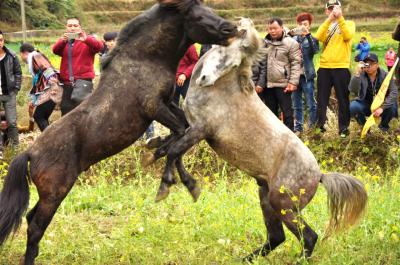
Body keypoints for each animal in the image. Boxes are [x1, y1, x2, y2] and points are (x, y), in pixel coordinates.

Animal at [0, 1, 238, 262]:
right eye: (197, 16)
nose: (231, 28)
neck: (145, 61)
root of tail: (30, 152)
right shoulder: (154, 107)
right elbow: (179, 134)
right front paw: (160, 159)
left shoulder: (168, 102)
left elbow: (183, 130)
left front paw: (160, 152)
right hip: (55, 193)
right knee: (34, 227)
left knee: (30, 218)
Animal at [155, 18, 368, 260]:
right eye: (223, 48)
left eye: (236, 62)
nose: (204, 79)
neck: (221, 91)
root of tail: (320, 175)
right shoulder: (188, 125)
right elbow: (170, 143)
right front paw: (154, 149)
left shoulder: (201, 130)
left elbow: (175, 152)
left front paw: (174, 187)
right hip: (265, 197)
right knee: (276, 237)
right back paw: (247, 259)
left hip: (281, 202)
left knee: (308, 236)